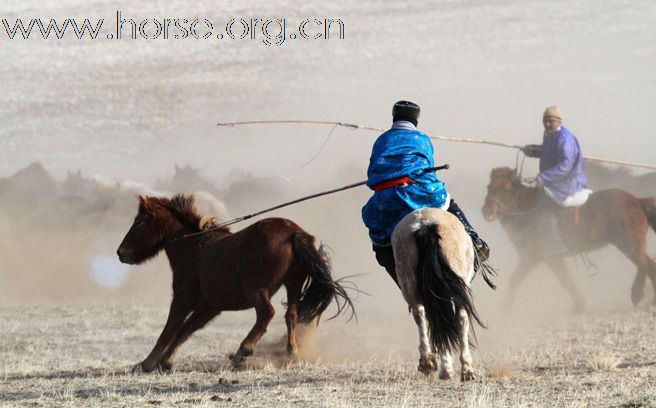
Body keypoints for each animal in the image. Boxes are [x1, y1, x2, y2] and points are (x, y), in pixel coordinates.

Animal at [116, 194, 354, 372]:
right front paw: (165, 362)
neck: (194, 249)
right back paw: (291, 351)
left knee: (267, 313)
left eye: (138, 222)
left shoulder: (183, 300)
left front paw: (146, 364)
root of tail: (294, 232)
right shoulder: (209, 307)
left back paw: (243, 350)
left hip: (256, 289)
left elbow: (169, 330)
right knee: (291, 315)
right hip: (293, 283)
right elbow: (185, 331)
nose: (120, 253)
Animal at [390, 209, 486, 380]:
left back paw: (430, 362)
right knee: (460, 318)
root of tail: (423, 224)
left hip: (410, 281)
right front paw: (446, 368)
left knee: (422, 314)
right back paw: (462, 369)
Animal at [482, 165, 656, 310]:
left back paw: (637, 294)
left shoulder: (541, 255)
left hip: (629, 244)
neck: (529, 209)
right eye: (489, 187)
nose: (487, 211)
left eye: (505, 188)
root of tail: (637, 201)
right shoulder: (542, 257)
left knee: (644, 264)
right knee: (649, 265)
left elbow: (561, 278)